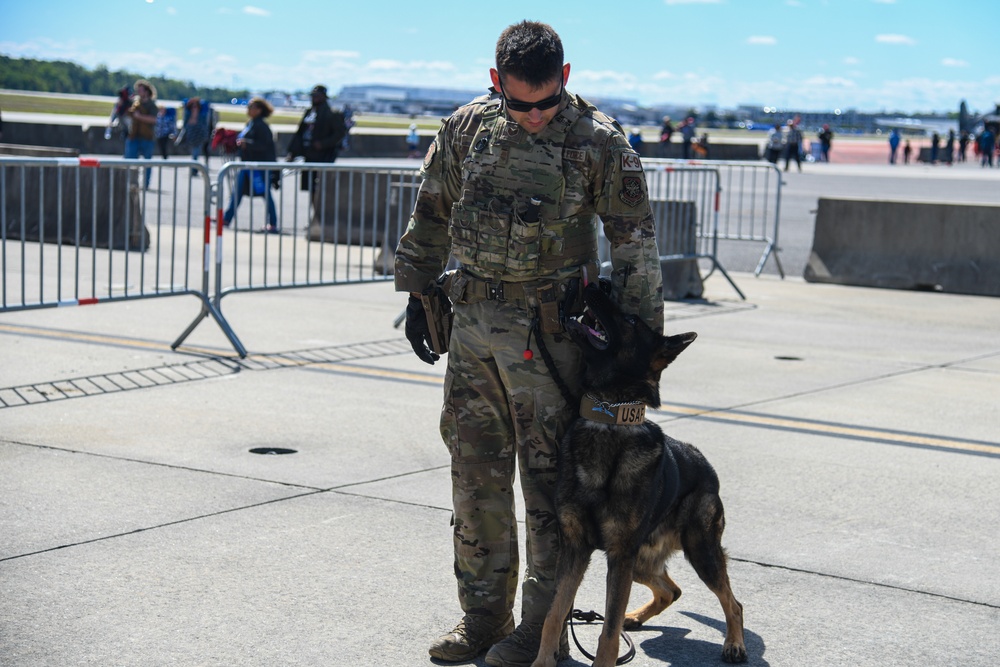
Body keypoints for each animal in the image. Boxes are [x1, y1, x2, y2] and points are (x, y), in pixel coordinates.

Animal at [536, 284, 748, 667]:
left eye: (632, 320)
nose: (595, 282)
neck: (609, 416)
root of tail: (704, 463)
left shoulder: (619, 555)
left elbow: (607, 634)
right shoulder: (577, 549)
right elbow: (554, 614)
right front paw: (541, 662)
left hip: (698, 550)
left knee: (733, 602)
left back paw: (734, 644)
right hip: (640, 563)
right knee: (671, 590)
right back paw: (635, 617)